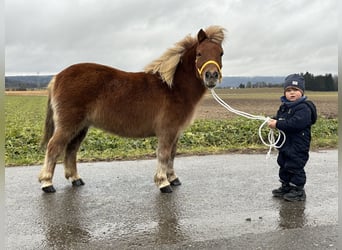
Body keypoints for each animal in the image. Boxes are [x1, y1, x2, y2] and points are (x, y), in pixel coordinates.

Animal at [38, 25, 226, 193]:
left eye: (221, 53)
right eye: (199, 53)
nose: (211, 76)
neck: (173, 88)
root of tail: (57, 77)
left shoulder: (176, 132)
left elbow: (172, 155)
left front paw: (173, 178)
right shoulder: (167, 131)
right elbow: (164, 154)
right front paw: (163, 183)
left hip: (81, 127)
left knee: (71, 150)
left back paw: (75, 179)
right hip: (68, 125)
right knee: (54, 147)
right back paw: (47, 183)